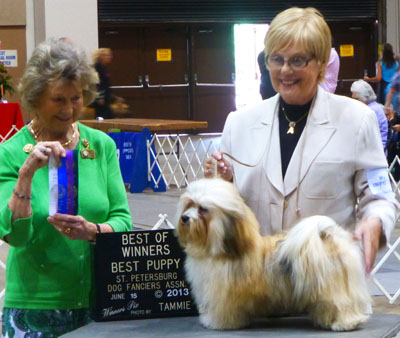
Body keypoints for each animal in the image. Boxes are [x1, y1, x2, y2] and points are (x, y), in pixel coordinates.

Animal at [177, 178, 370, 332]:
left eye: (203, 209)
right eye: (189, 204)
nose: (185, 218)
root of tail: (326, 237)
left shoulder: (223, 295)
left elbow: (222, 311)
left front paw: (217, 323)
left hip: (332, 288)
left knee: (341, 304)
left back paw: (345, 323)